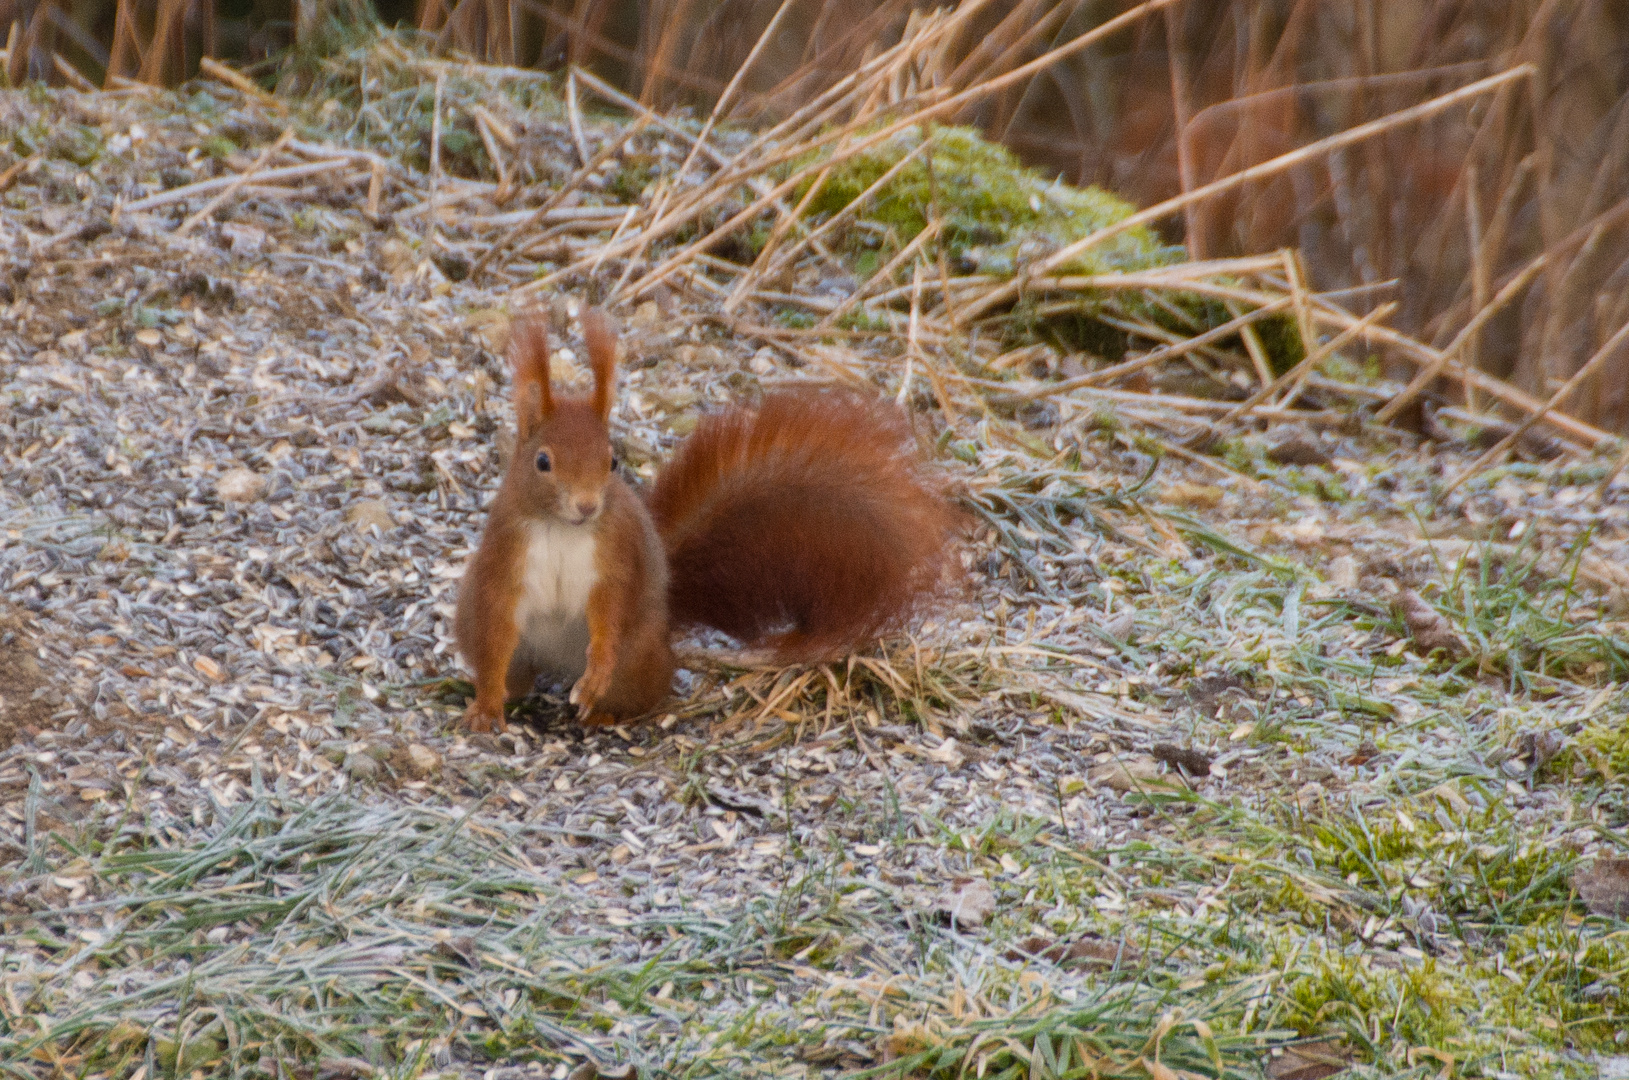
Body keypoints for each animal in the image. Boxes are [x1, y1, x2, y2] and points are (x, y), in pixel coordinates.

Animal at [452, 312, 957, 736]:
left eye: (612, 461)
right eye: (542, 462)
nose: (587, 506)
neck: (563, 530)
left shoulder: (616, 558)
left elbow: (610, 614)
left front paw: (595, 676)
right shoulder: (504, 559)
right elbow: (497, 631)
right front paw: (486, 709)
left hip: (637, 655)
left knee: (643, 691)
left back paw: (603, 710)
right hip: (476, 620)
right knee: (509, 665)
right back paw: (502, 693)